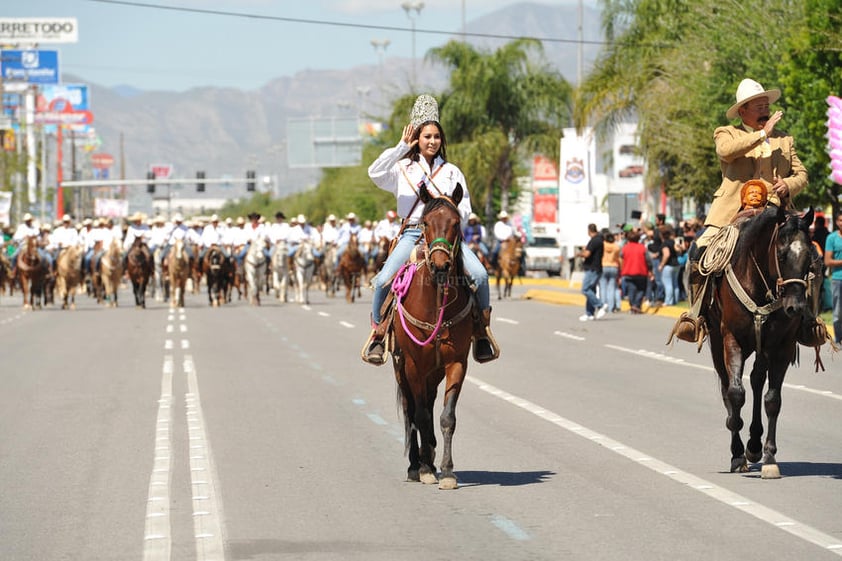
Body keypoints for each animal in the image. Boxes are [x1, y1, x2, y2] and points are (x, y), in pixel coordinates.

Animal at [386, 185, 472, 490]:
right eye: (425, 222)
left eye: (456, 223)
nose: (441, 266)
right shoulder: (413, 364)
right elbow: (420, 415)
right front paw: (423, 468)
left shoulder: (457, 363)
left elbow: (447, 417)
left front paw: (446, 471)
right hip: (402, 369)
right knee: (411, 409)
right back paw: (416, 464)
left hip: (433, 373)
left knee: (429, 402)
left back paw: (430, 456)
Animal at [704, 205, 812, 476]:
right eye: (781, 255)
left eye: (810, 257)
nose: (796, 307)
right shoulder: (731, 339)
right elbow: (735, 393)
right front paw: (736, 453)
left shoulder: (782, 347)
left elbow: (772, 399)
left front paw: (769, 457)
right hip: (717, 341)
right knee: (727, 385)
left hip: (762, 347)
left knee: (756, 380)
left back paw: (753, 444)